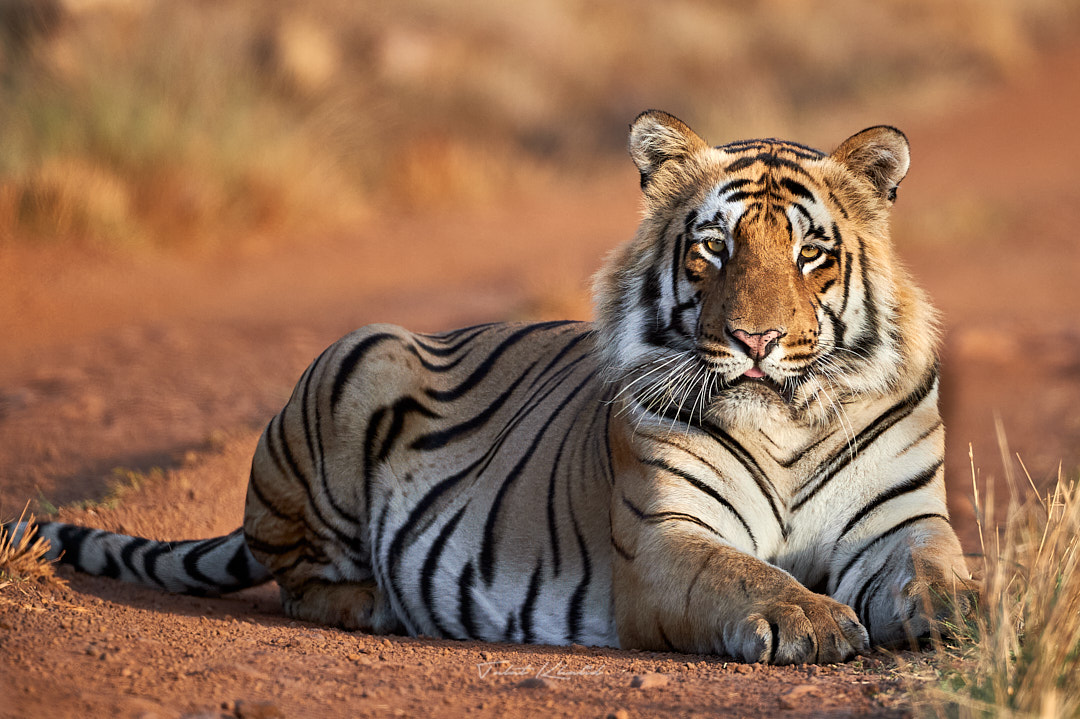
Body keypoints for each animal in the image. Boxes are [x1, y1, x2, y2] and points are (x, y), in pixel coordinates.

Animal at [4, 110, 975, 665]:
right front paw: (814, 620)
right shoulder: (667, 540)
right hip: (359, 356)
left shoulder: (902, 523)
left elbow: (938, 569)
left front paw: (966, 613)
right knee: (300, 578)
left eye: (811, 253)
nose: (757, 341)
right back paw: (380, 607)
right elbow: (743, 574)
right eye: (713, 248)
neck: (790, 418)